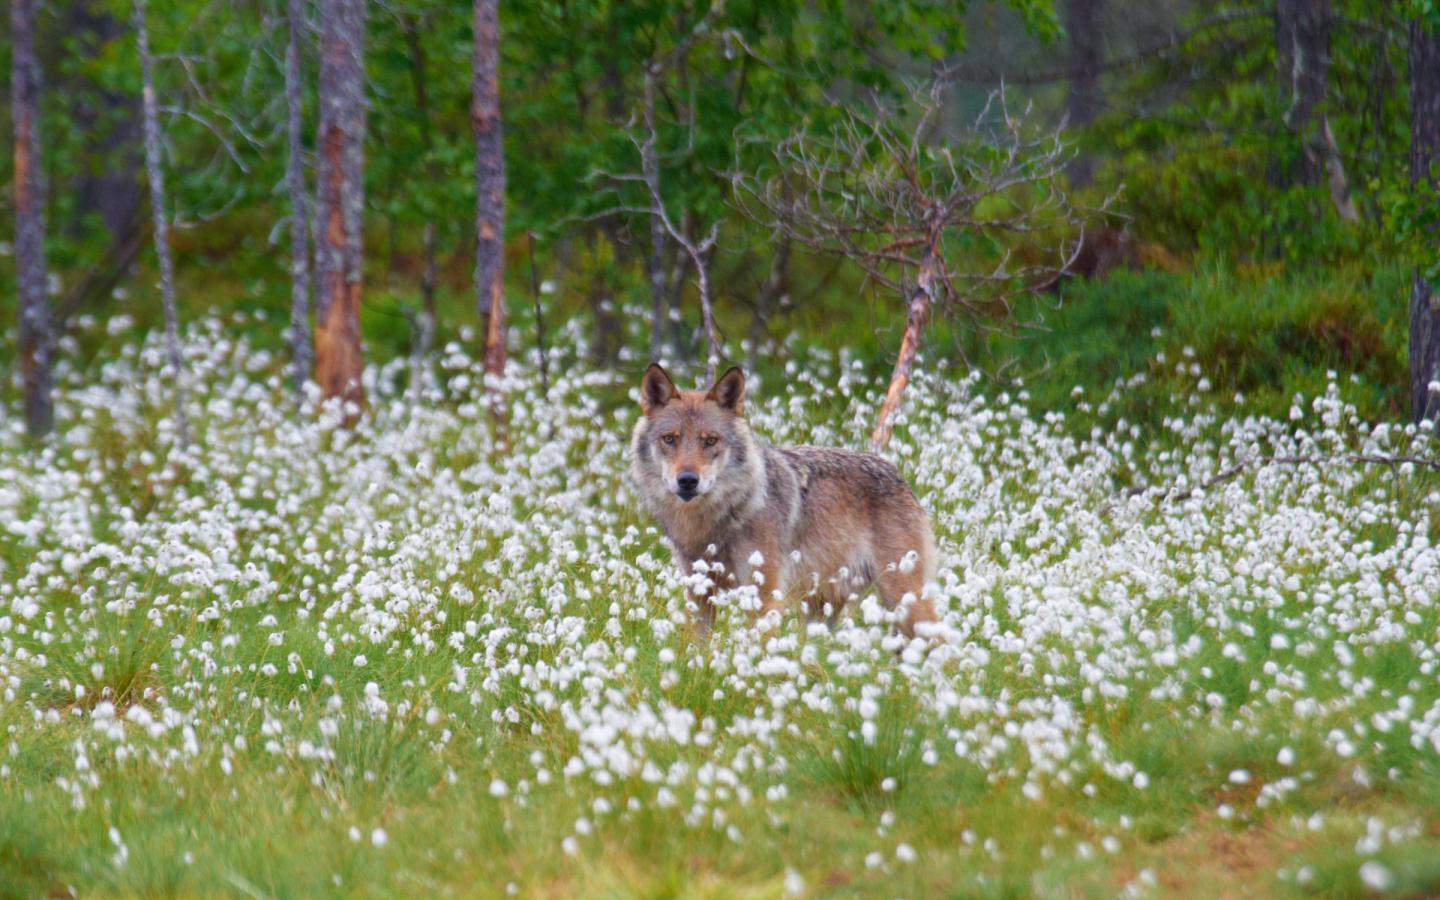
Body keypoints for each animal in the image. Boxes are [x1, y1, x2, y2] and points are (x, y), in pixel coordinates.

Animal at [627, 361, 938, 636]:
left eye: (710, 441)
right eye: (670, 439)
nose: (688, 480)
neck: (710, 523)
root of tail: (896, 472)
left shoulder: (763, 595)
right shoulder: (700, 591)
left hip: (905, 604)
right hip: (822, 611)